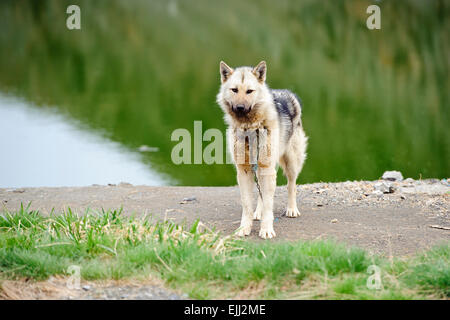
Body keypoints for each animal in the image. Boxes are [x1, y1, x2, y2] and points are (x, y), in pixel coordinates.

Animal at [216, 61, 308, 239]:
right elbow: (247, 204)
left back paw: (292, 209)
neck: (250, 128)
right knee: (261, 194)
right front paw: (244, 228)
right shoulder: (244, 170)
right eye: (234, 90)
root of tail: (287, 92)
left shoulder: (267, 169)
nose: (240, 107)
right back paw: (257, 212)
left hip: (291, 162)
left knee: (291, 185)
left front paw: (266, 229)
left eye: (249, 91)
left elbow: (269, 204)